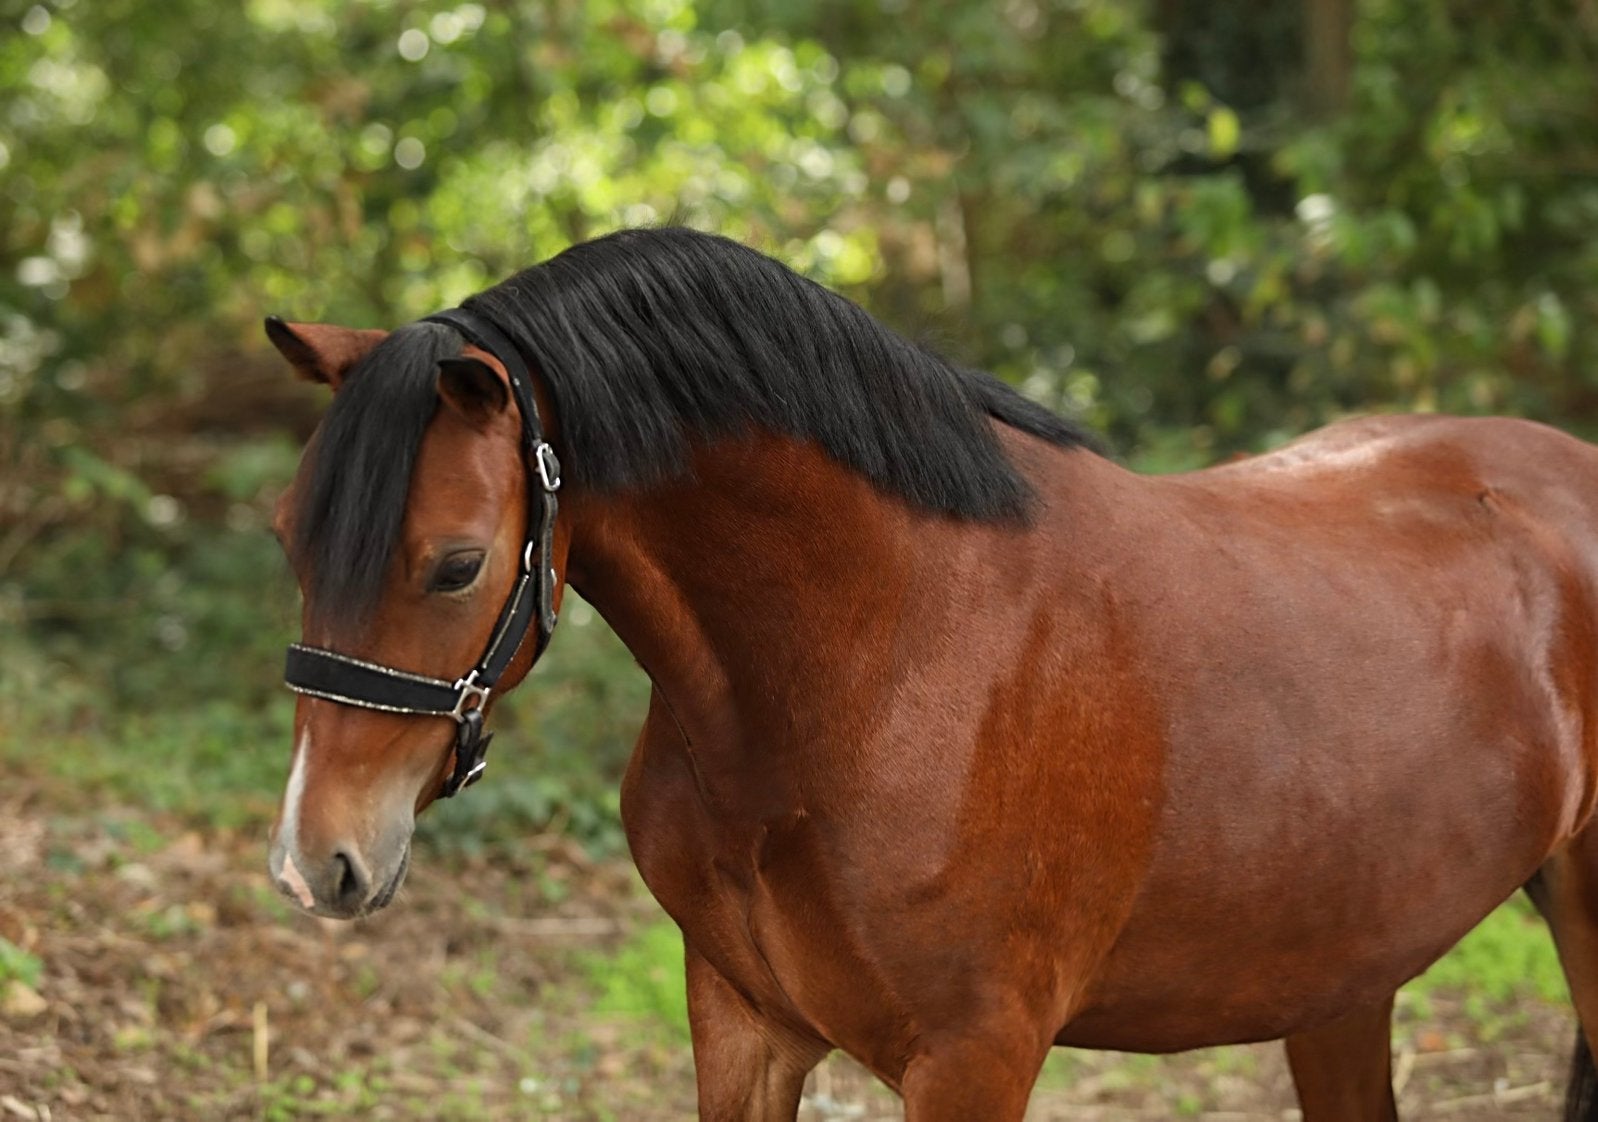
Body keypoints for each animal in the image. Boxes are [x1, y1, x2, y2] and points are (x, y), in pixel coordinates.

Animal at [264, 226, 1598, 1120]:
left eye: (454, 565)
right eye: (289, 537)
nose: (316, 861)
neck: (876, 653)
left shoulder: (972, 1058)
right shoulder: (740, 1022)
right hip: (1338, 982)